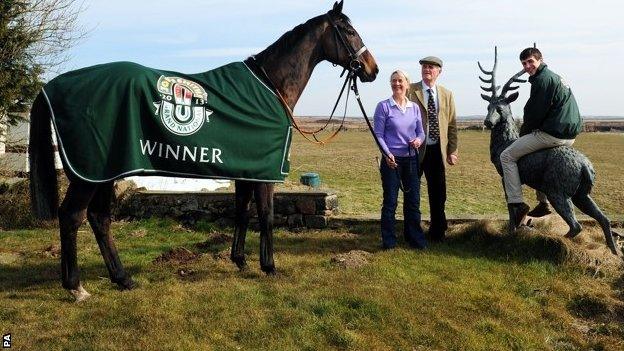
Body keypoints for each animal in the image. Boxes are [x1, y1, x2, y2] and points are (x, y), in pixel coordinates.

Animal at [29, 0, 378, 302]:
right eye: (349, 31)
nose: (372, 69)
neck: (271, 88)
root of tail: (53, 87)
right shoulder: (264, 174)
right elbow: (265, 216)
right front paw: (269, 267)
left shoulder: (245, 169)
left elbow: (242, 211)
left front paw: (240, 260)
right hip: (88, 174)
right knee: (72, 216)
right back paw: (76, 287)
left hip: (104, 171)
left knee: (99, 219)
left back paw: (122, 279)